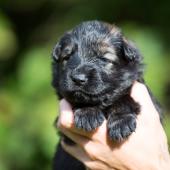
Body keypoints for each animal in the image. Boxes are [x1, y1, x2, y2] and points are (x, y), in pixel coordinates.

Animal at [51, 20, 161, 170]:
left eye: (104, 59)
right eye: (67, 57)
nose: (78, 79)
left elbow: (123, 99)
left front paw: (120, 122)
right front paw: (87, 114)